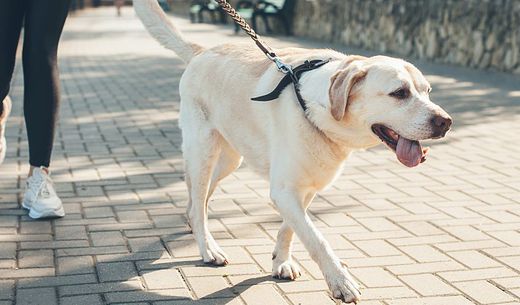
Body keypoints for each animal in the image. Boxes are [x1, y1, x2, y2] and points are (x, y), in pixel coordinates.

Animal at [134, 1, 450, 302]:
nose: (445, 122)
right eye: (400, 93)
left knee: (196, 202)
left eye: (428, 91)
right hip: (203, 151)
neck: (315, 107)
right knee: (199, 202)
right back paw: (208, 247)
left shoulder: (304, 188)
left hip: (230, 160)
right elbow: (316, 238)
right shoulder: (285, 189)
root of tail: (202, 51)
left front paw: (281, 262)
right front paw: (340, 281)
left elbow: (291, 228)